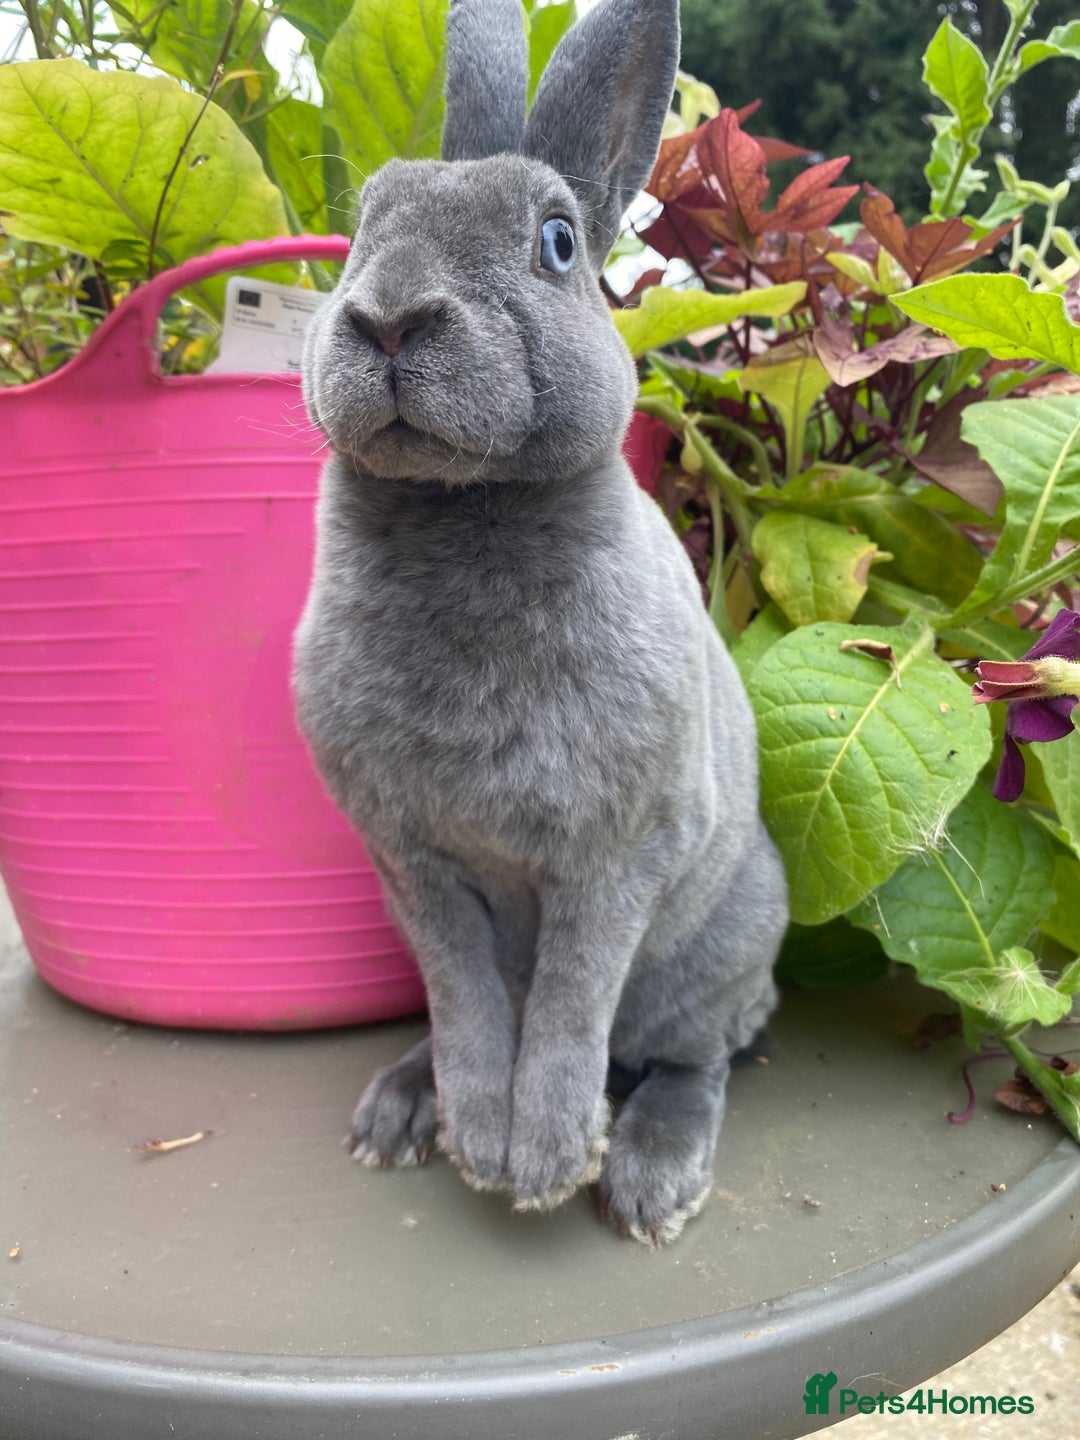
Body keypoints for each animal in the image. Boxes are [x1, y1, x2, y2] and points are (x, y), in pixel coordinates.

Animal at [293, 0, 789, 1245]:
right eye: (363, 228)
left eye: (558, 244)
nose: (389, 321)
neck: (463, 509)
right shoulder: (418, 865)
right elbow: (469, 1000)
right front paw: (480, 1140)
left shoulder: (614, 860)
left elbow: (569, 1005)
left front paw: (546, 1164)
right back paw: (397, 1111)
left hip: (711, 956)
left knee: (693, 1057)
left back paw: (651, 1177)